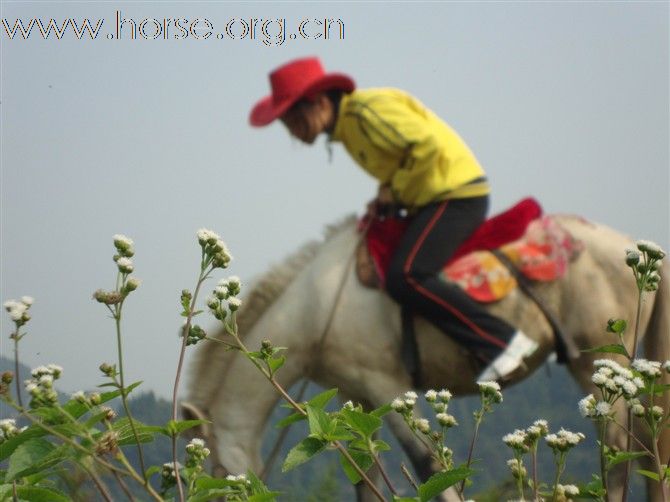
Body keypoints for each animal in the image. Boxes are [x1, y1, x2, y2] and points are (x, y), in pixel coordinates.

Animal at [184, 214, 670, 500]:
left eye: (216, 475)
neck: (317, 308)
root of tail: (637, 248)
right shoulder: (354, 397)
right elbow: (365, 475)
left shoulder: (387, 385)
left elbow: (428, 467)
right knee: (650, 444)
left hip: (598, 364)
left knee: (619, 453)